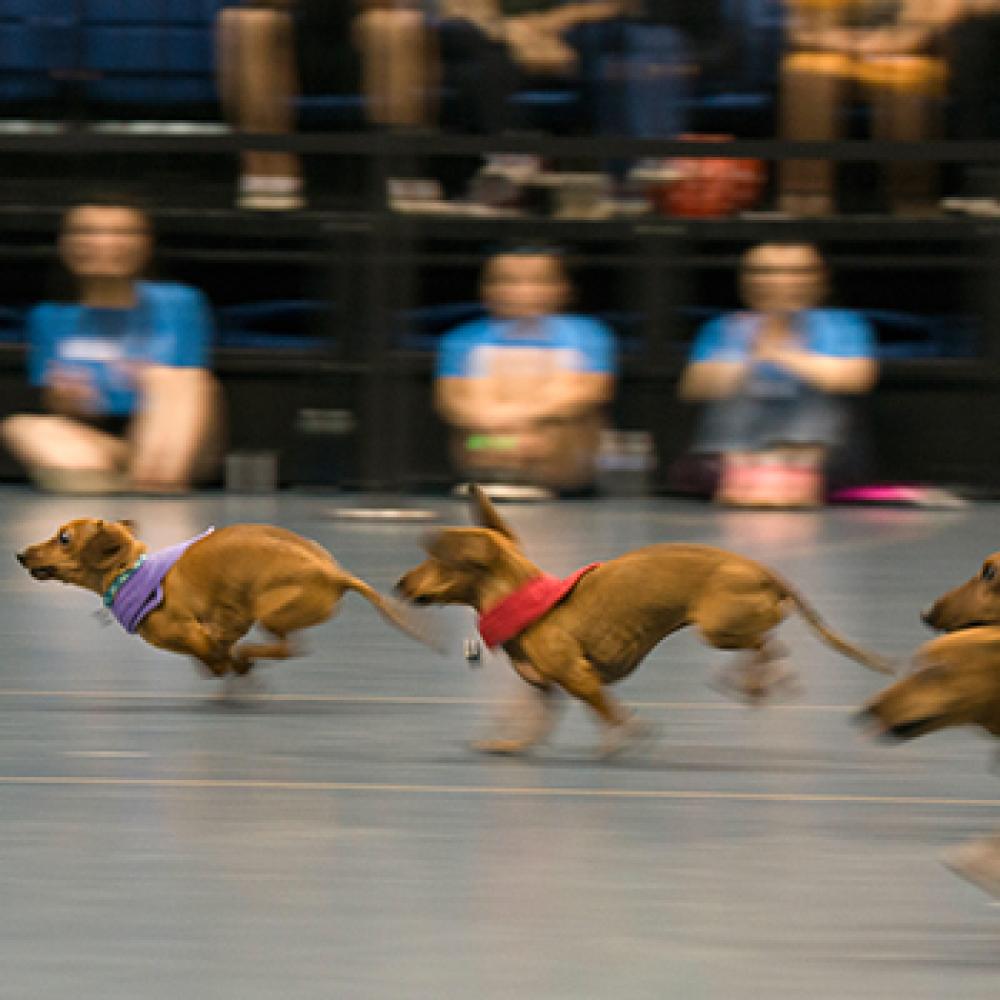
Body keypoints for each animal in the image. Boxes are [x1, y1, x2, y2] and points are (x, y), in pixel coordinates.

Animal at [392, 480, 892, 752]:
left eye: (435, 559)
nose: (399, 584)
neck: (528, 603)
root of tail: (766, 572)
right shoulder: (547, 691)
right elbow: (530, 723)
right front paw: (508, 745)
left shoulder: (579, 679)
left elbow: (608, 713)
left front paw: (625, 734)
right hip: (731, 627)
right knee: (772, 644)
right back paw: (762, 681)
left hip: (717, 629)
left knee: (763, 645)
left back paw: (750, 681)